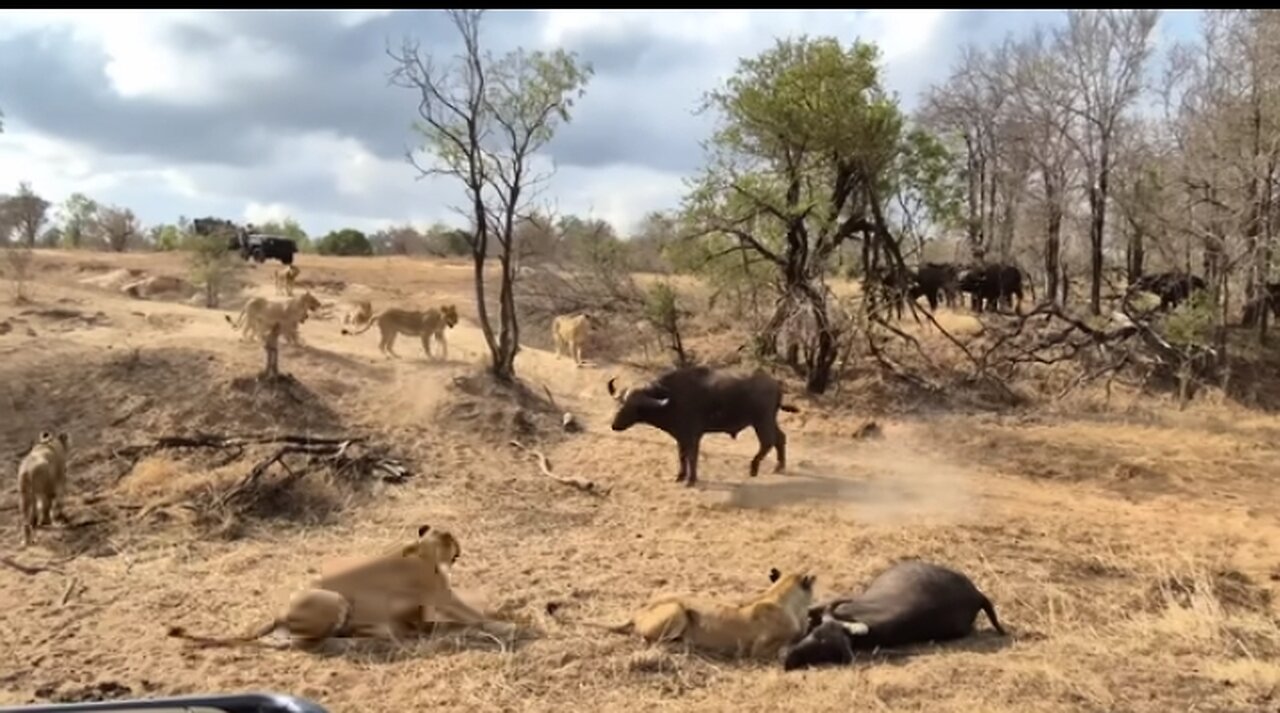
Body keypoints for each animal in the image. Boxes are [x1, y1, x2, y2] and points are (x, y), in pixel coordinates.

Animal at [166, 519, 514, 647]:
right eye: (453, 541)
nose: (459, 551)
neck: (420, 549)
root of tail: (280, 612)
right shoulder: (443, 597)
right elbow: (476, 616)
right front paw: (507, 626)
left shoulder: (420, 612)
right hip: (334, 600)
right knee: (315, 641)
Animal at [591, 563, 814, 660]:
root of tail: (637, 613)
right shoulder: (759, 649)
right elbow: (789, 644)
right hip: (676, 611)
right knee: (651, 642)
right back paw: (686, 647)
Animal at [604, 363, 793, 486]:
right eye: (621, 403)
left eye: (636, 407)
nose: (614, 425)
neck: (671, 399)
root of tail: (775, 383)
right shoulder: (680, 437)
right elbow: (682, 456)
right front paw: (680, 476)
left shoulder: (693, 436)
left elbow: (692, 457)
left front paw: (691, 480)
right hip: (769, 420)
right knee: (780, 438)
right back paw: (779, 466)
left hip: (761, 421)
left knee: (768, 442)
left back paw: (754, 468)